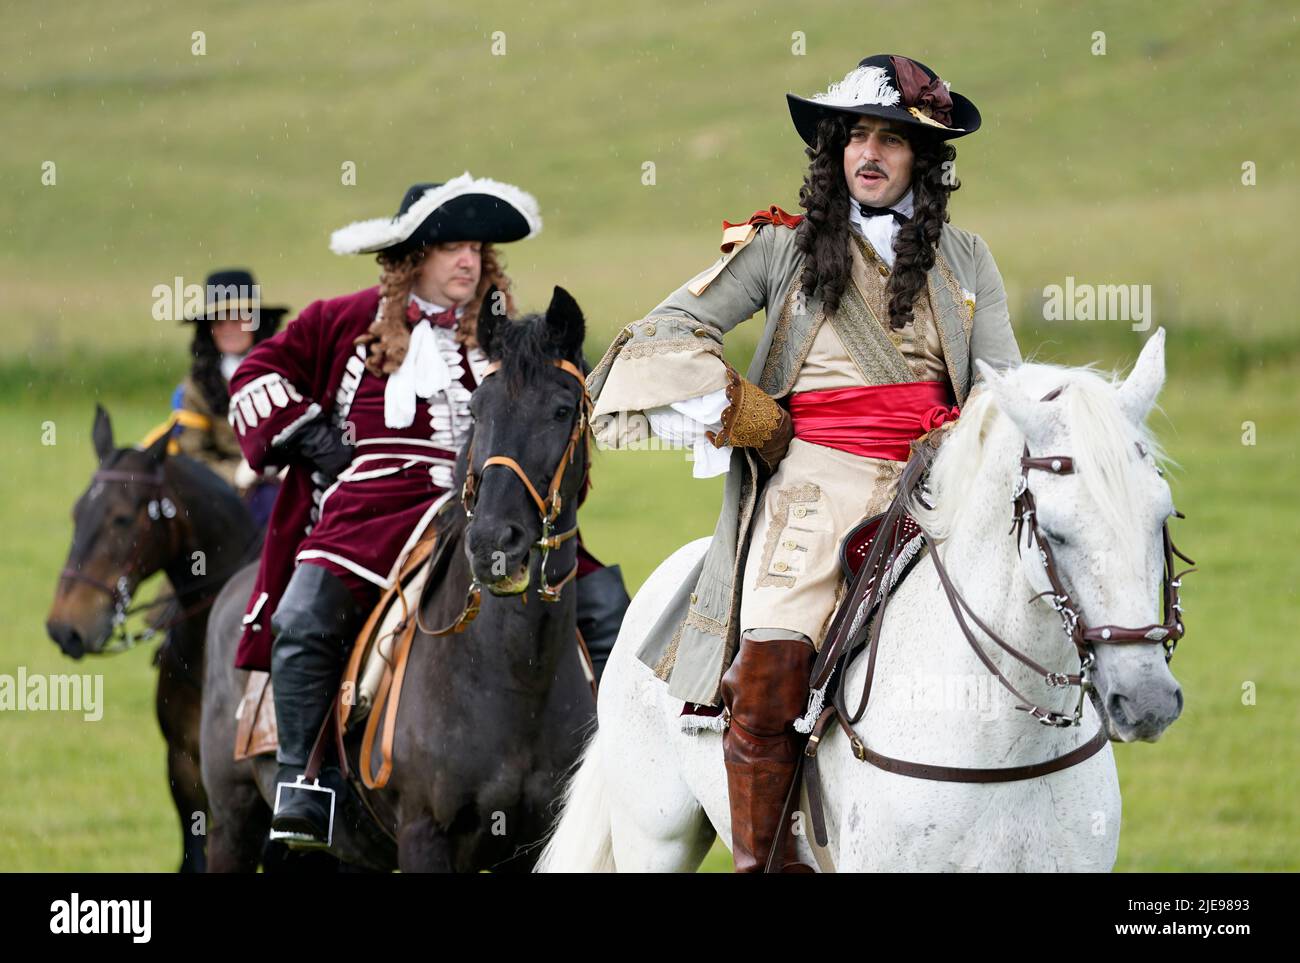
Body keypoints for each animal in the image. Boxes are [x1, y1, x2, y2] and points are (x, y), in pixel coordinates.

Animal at [201, 285, 598, 873]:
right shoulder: (424, 835)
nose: (493, 543)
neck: (512, 677)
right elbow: (262, 366)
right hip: (232, 822)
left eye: (562, 409)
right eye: (478, 408)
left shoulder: (532, 847)